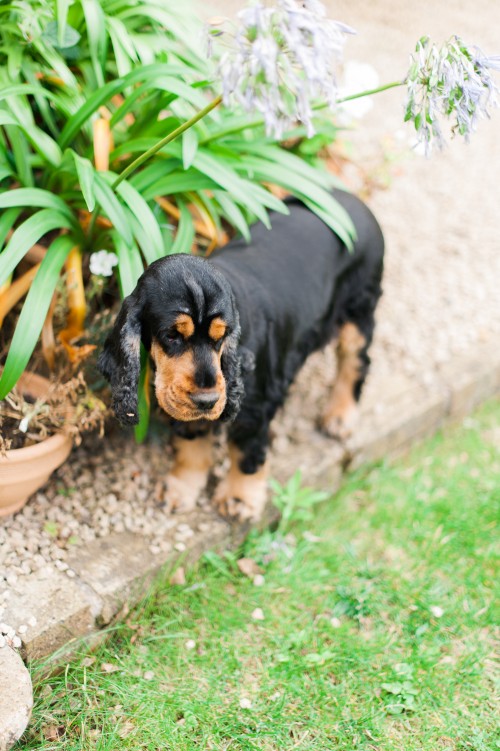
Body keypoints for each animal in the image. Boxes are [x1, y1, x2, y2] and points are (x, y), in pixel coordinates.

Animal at [98, 188, 386, 524]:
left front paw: (240, 497)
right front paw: (181, 488)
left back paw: (339, 416)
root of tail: (349, 197)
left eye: (221, 336)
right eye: (172, 336)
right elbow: (191, 444)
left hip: (359, 308)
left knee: (356, 361)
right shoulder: (188, 405)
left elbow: (246, 451)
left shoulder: (255, 406)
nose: (208, 401)